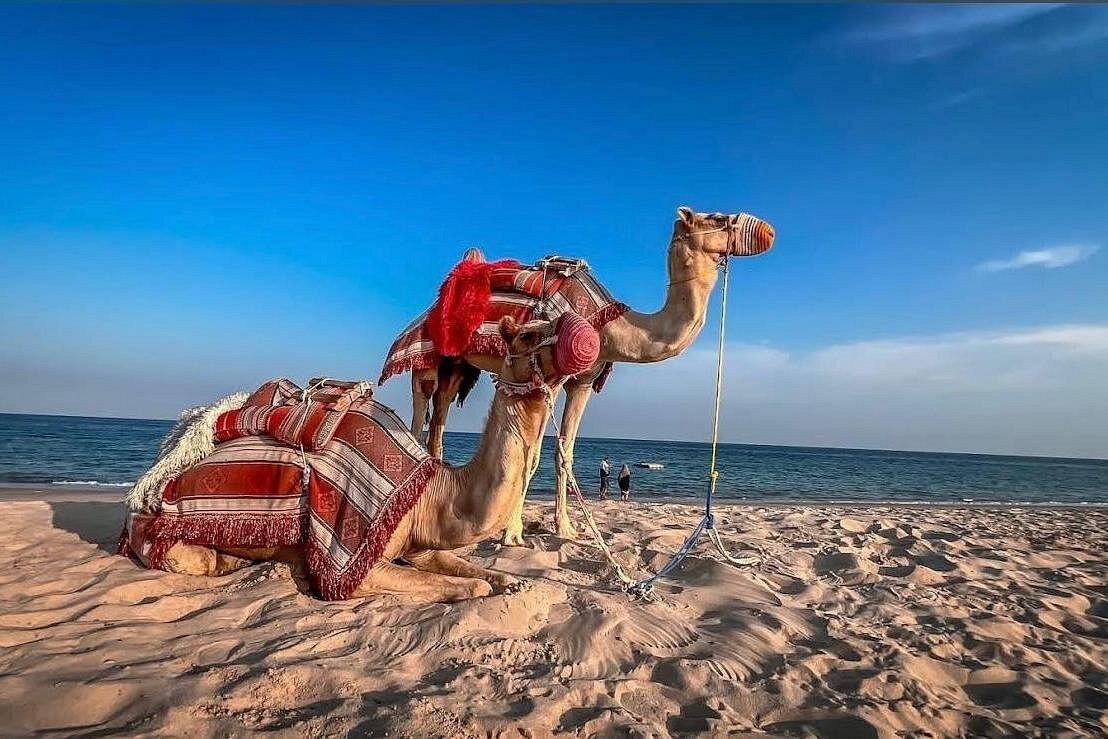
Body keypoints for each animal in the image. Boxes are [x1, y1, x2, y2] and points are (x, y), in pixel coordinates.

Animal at [123, 314, 595, 602]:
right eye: (528, 335)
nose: (582, 334)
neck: (435, 494)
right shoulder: (359, 562)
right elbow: (468, 587)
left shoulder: (419, 545)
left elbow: (495, 576)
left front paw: (510, 583)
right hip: (158, 531)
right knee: (195, 558)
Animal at [406, 206, 775, 543]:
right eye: (716, 217)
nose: (769, 230)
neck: (612, 328)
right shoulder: (547, 377)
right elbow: (531, 454)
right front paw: (512, 533)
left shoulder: (582, 382)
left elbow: (564, 453)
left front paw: (565, 529)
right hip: (427, 353)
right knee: (420, 410)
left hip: (459, 366)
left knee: (439, 416)